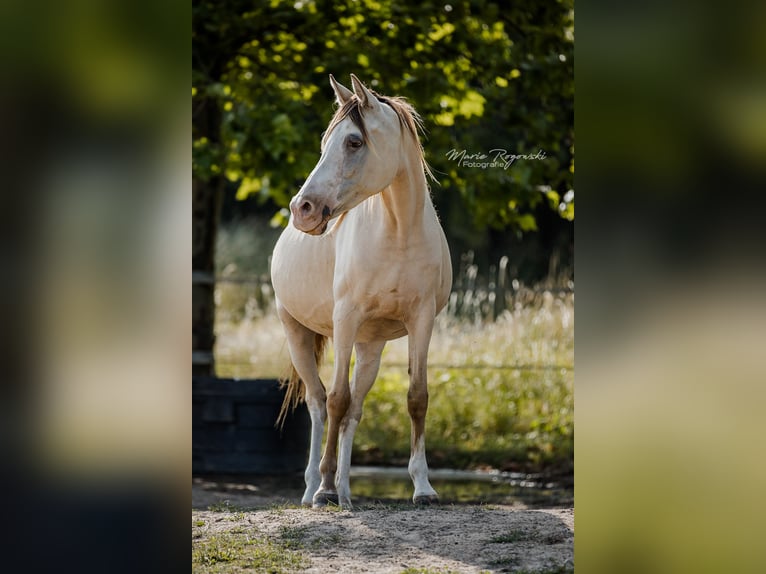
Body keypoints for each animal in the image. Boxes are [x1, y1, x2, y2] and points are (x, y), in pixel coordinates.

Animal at [270, 74, 452, 509]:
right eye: (325, 143)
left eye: (354, 142)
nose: (302, 209)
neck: (398, 232)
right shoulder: (345, 319)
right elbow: (335, 399)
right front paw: (323, 488)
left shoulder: (421, 321)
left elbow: (416, 397)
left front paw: (423, 487)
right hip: (297, 333)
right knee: (318, 404)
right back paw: (313, 489)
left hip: (370, 346)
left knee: (354, 409)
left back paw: (346, 491)